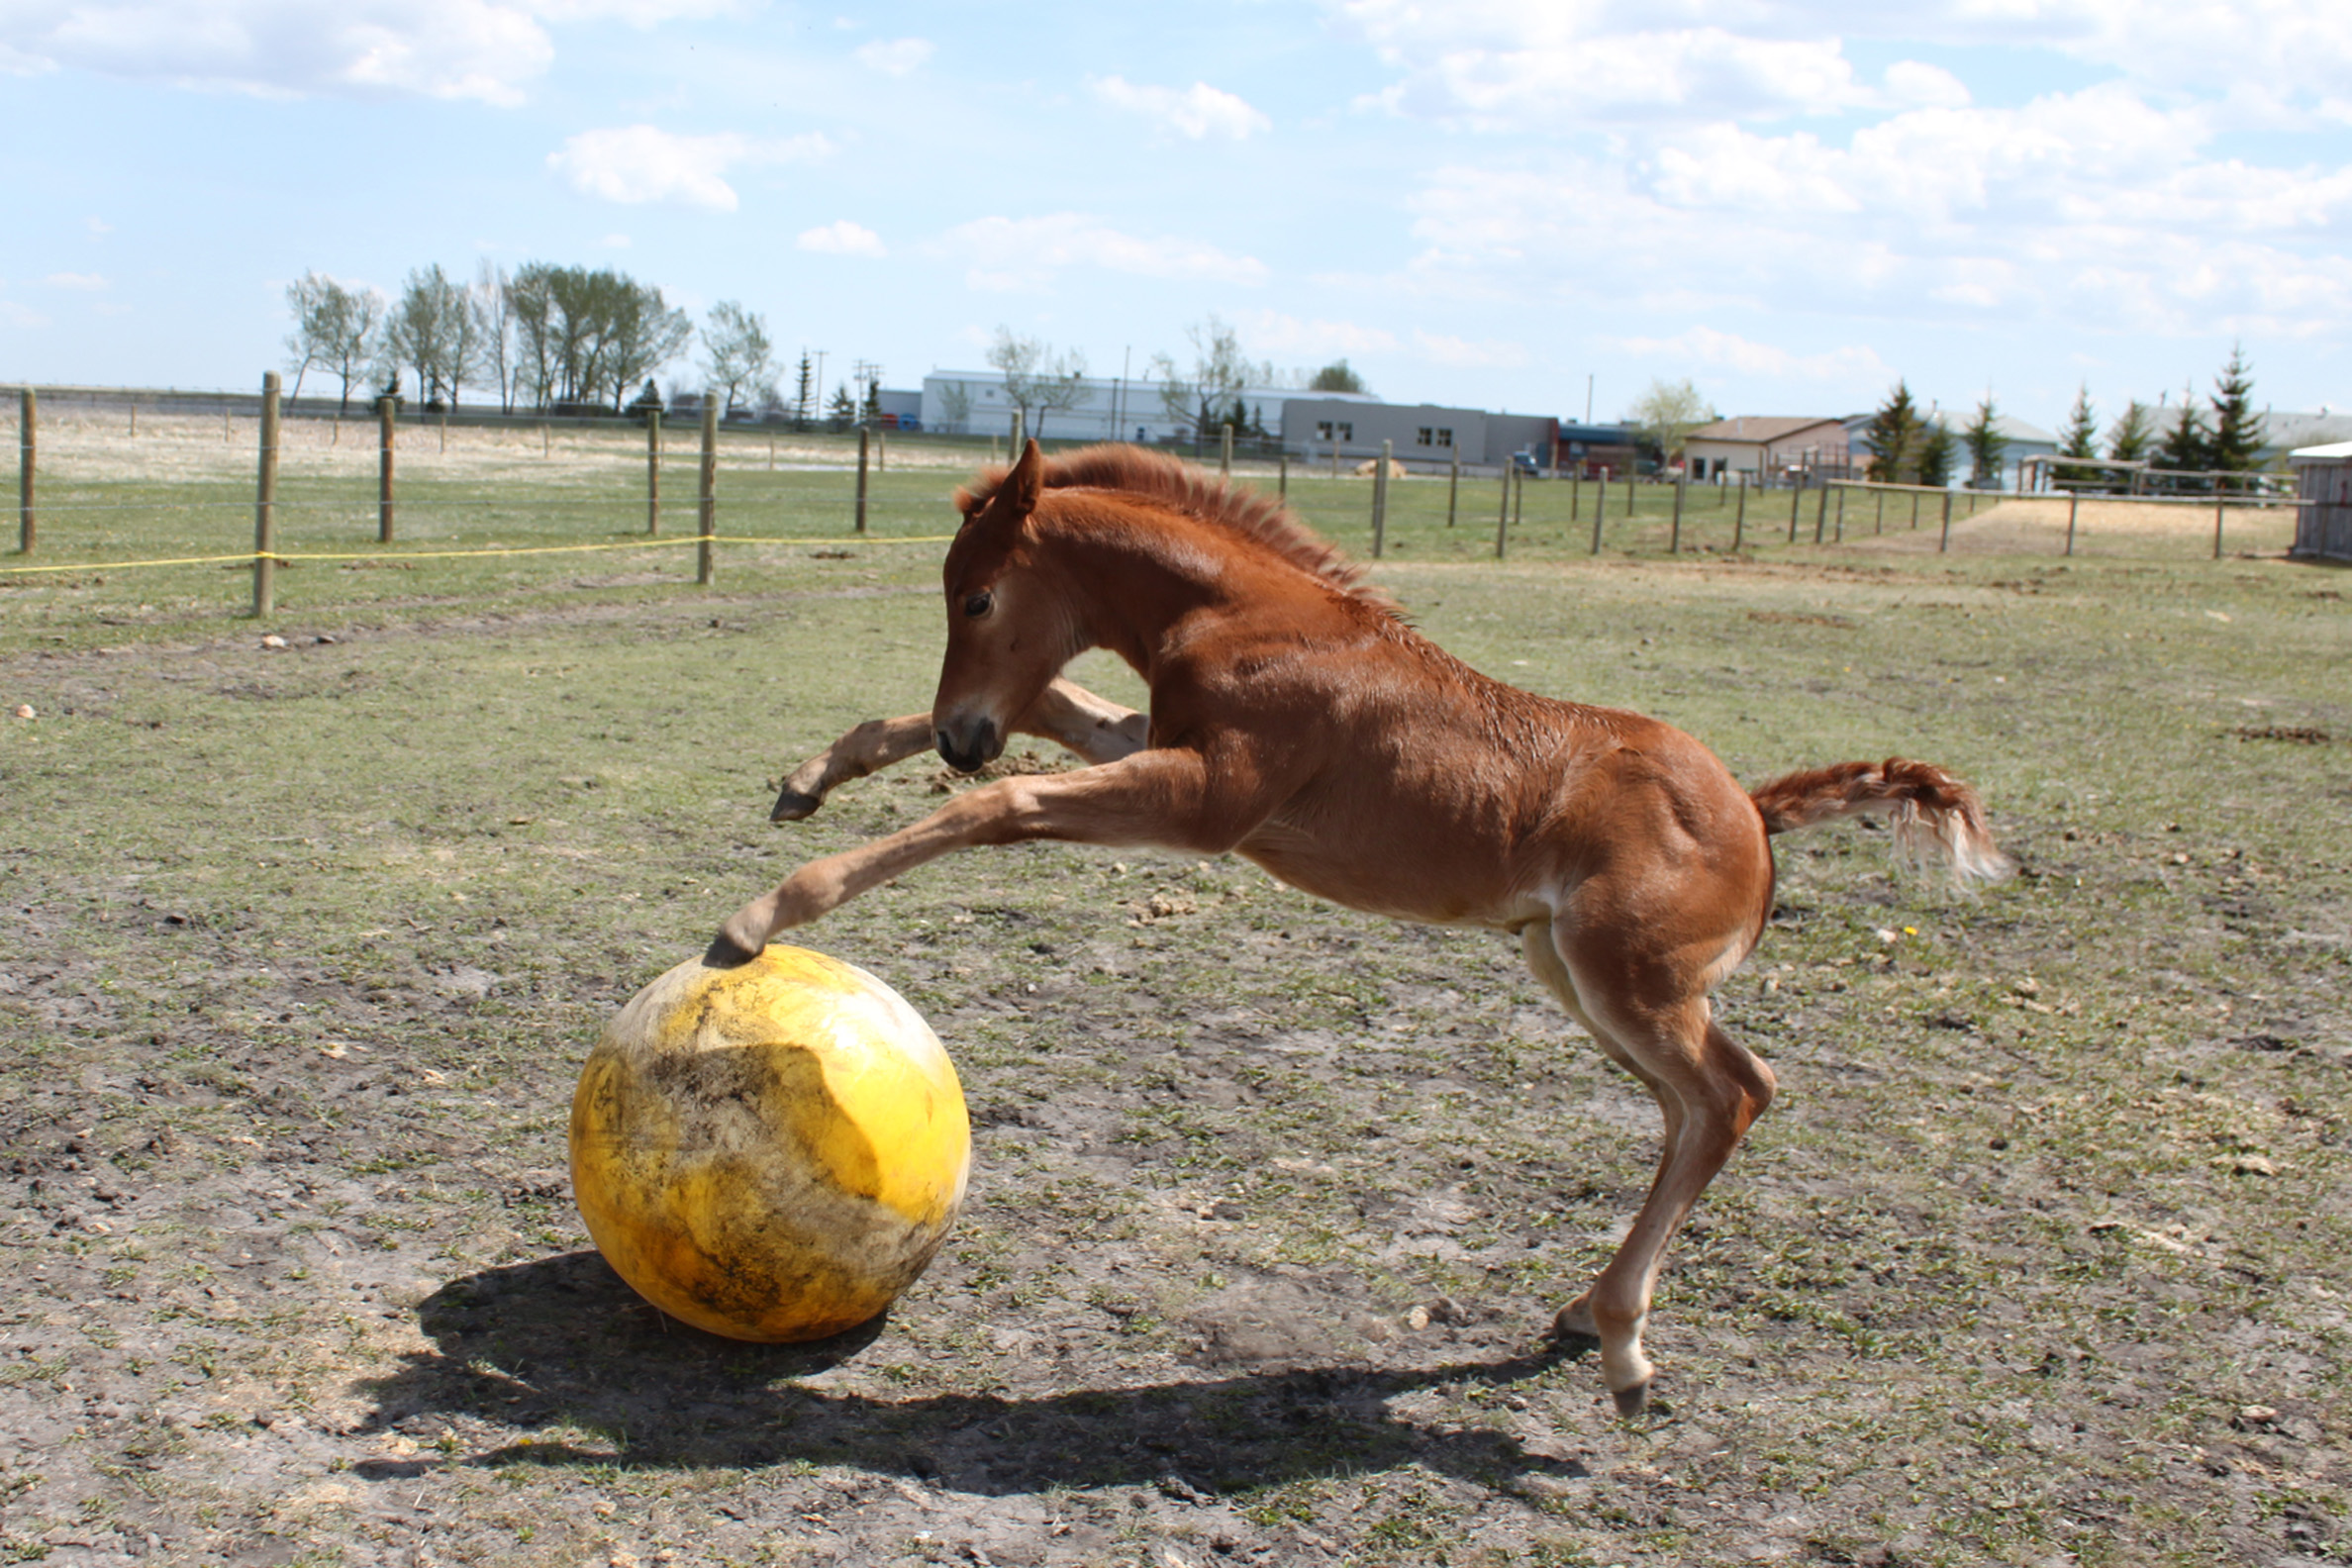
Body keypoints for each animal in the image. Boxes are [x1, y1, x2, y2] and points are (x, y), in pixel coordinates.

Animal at [715, 440, 2004, 1410]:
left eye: (977, 596)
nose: (959, 731)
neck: (1251, 616)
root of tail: (1754, 808)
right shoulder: (1163, 752)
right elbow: (1049, 718)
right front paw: (811, 778)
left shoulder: (1208, 803)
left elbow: (1001, 803)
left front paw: (760, 915)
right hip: (1580, 976)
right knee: (1701, 1106)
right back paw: (1588, 1320)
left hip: (1627, 980)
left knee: (1732, 1096)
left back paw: (1627, 1351)